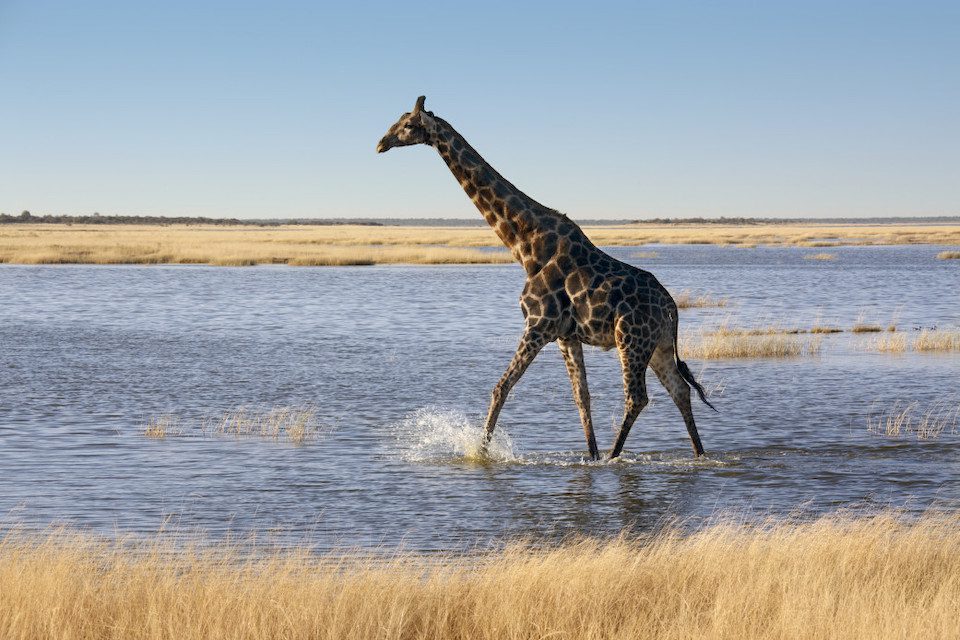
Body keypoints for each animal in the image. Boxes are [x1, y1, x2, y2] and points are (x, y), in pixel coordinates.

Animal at [376, 96, 712, 460]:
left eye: (408, 125)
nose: (381, 144)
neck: (527, 246)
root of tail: (672, 307)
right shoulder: (567, 336)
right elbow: (582, 398)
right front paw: (590, 456)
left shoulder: (537, 325)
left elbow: (501, 387)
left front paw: (480, 452)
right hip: (658, 346)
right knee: (680, 390)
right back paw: (698, 453)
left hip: (631, 340)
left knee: (638, 397)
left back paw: (615, 456)